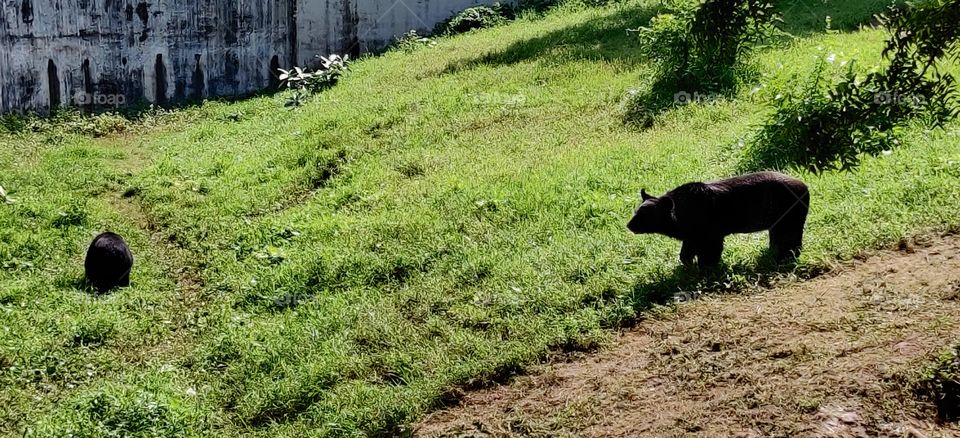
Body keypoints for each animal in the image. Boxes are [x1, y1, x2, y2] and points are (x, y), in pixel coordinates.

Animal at [627, 171, 809, 268]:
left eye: (645, 215)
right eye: (635, 212)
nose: (629, 225)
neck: (680, 213)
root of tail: (805, 187)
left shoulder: (711, 235)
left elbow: (709, 254)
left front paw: (707, 269)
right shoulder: (692, 236)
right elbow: (685, 255)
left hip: (790, 220)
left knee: (793, 239)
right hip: (778, 224)